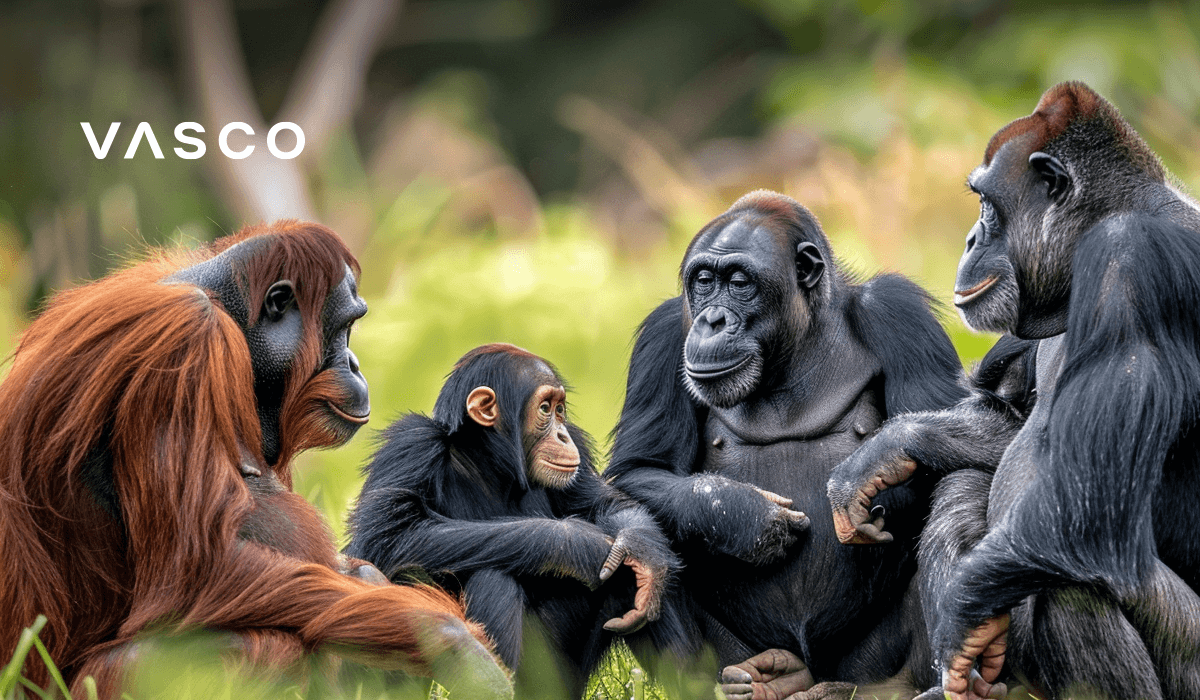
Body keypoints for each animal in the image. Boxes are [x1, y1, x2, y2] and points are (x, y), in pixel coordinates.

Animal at [348, 343, 686, 691]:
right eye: (545, 408)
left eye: (561, 410)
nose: (562, 434)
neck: (488, 462)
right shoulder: (410, 445)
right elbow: (390, 532)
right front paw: (579, 543)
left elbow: (607, 505)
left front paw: (643, 551)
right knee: (467, 573)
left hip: (562, 681)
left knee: (624, 576)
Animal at [830, 83, 1200, 700]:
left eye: (986, 204)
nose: (970, 236)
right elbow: (1009, 425)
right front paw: (883, 454)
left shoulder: (1132, 263)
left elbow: (1085, 508)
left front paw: (959, 615)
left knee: (1071, 591)